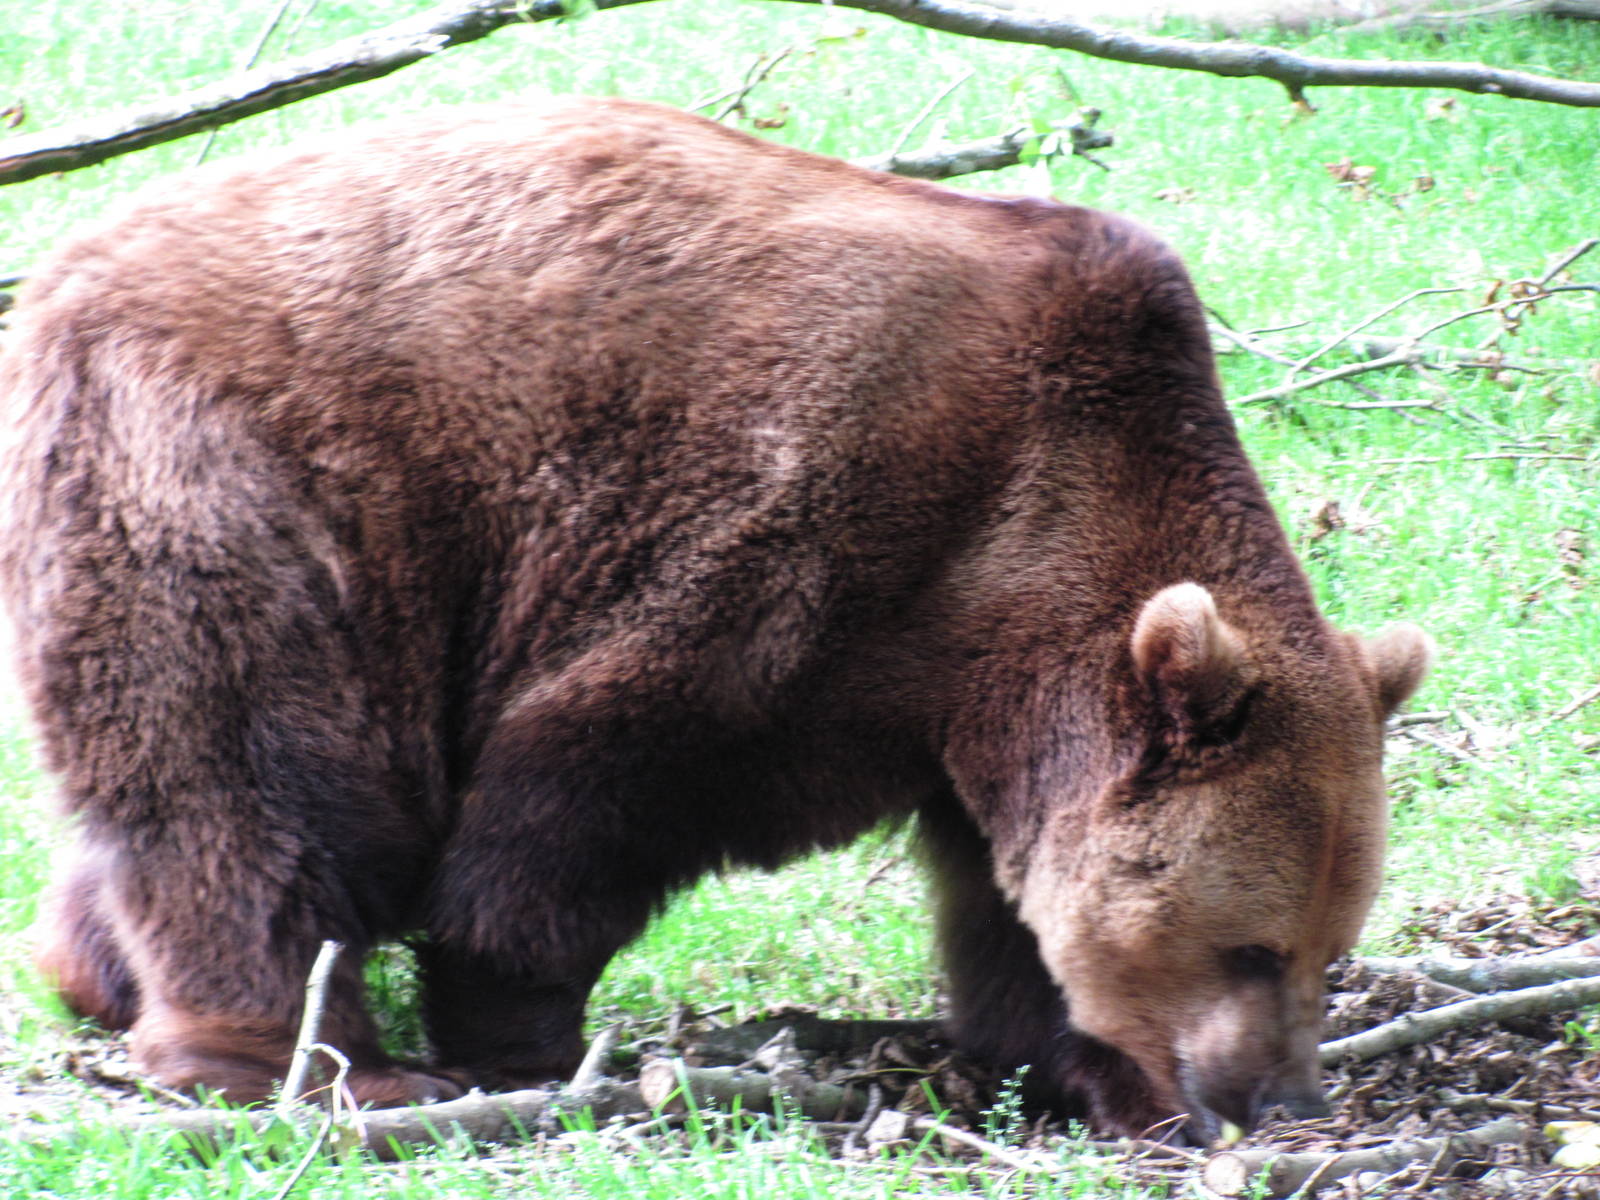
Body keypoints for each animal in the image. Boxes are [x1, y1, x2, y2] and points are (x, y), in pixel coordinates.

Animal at [0, 97, 1432, 1138]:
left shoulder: (984, 699)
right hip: (246, 479)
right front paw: (523, 1032)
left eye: (1329, 949)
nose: (1277, 1096)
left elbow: (1009, 906)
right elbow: (576, 802)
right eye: (1250, 948)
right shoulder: (803, 537)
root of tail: (64, 270)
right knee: (260, 775)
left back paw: (100, 969)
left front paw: (1092, 1075)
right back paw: (299, 1057)